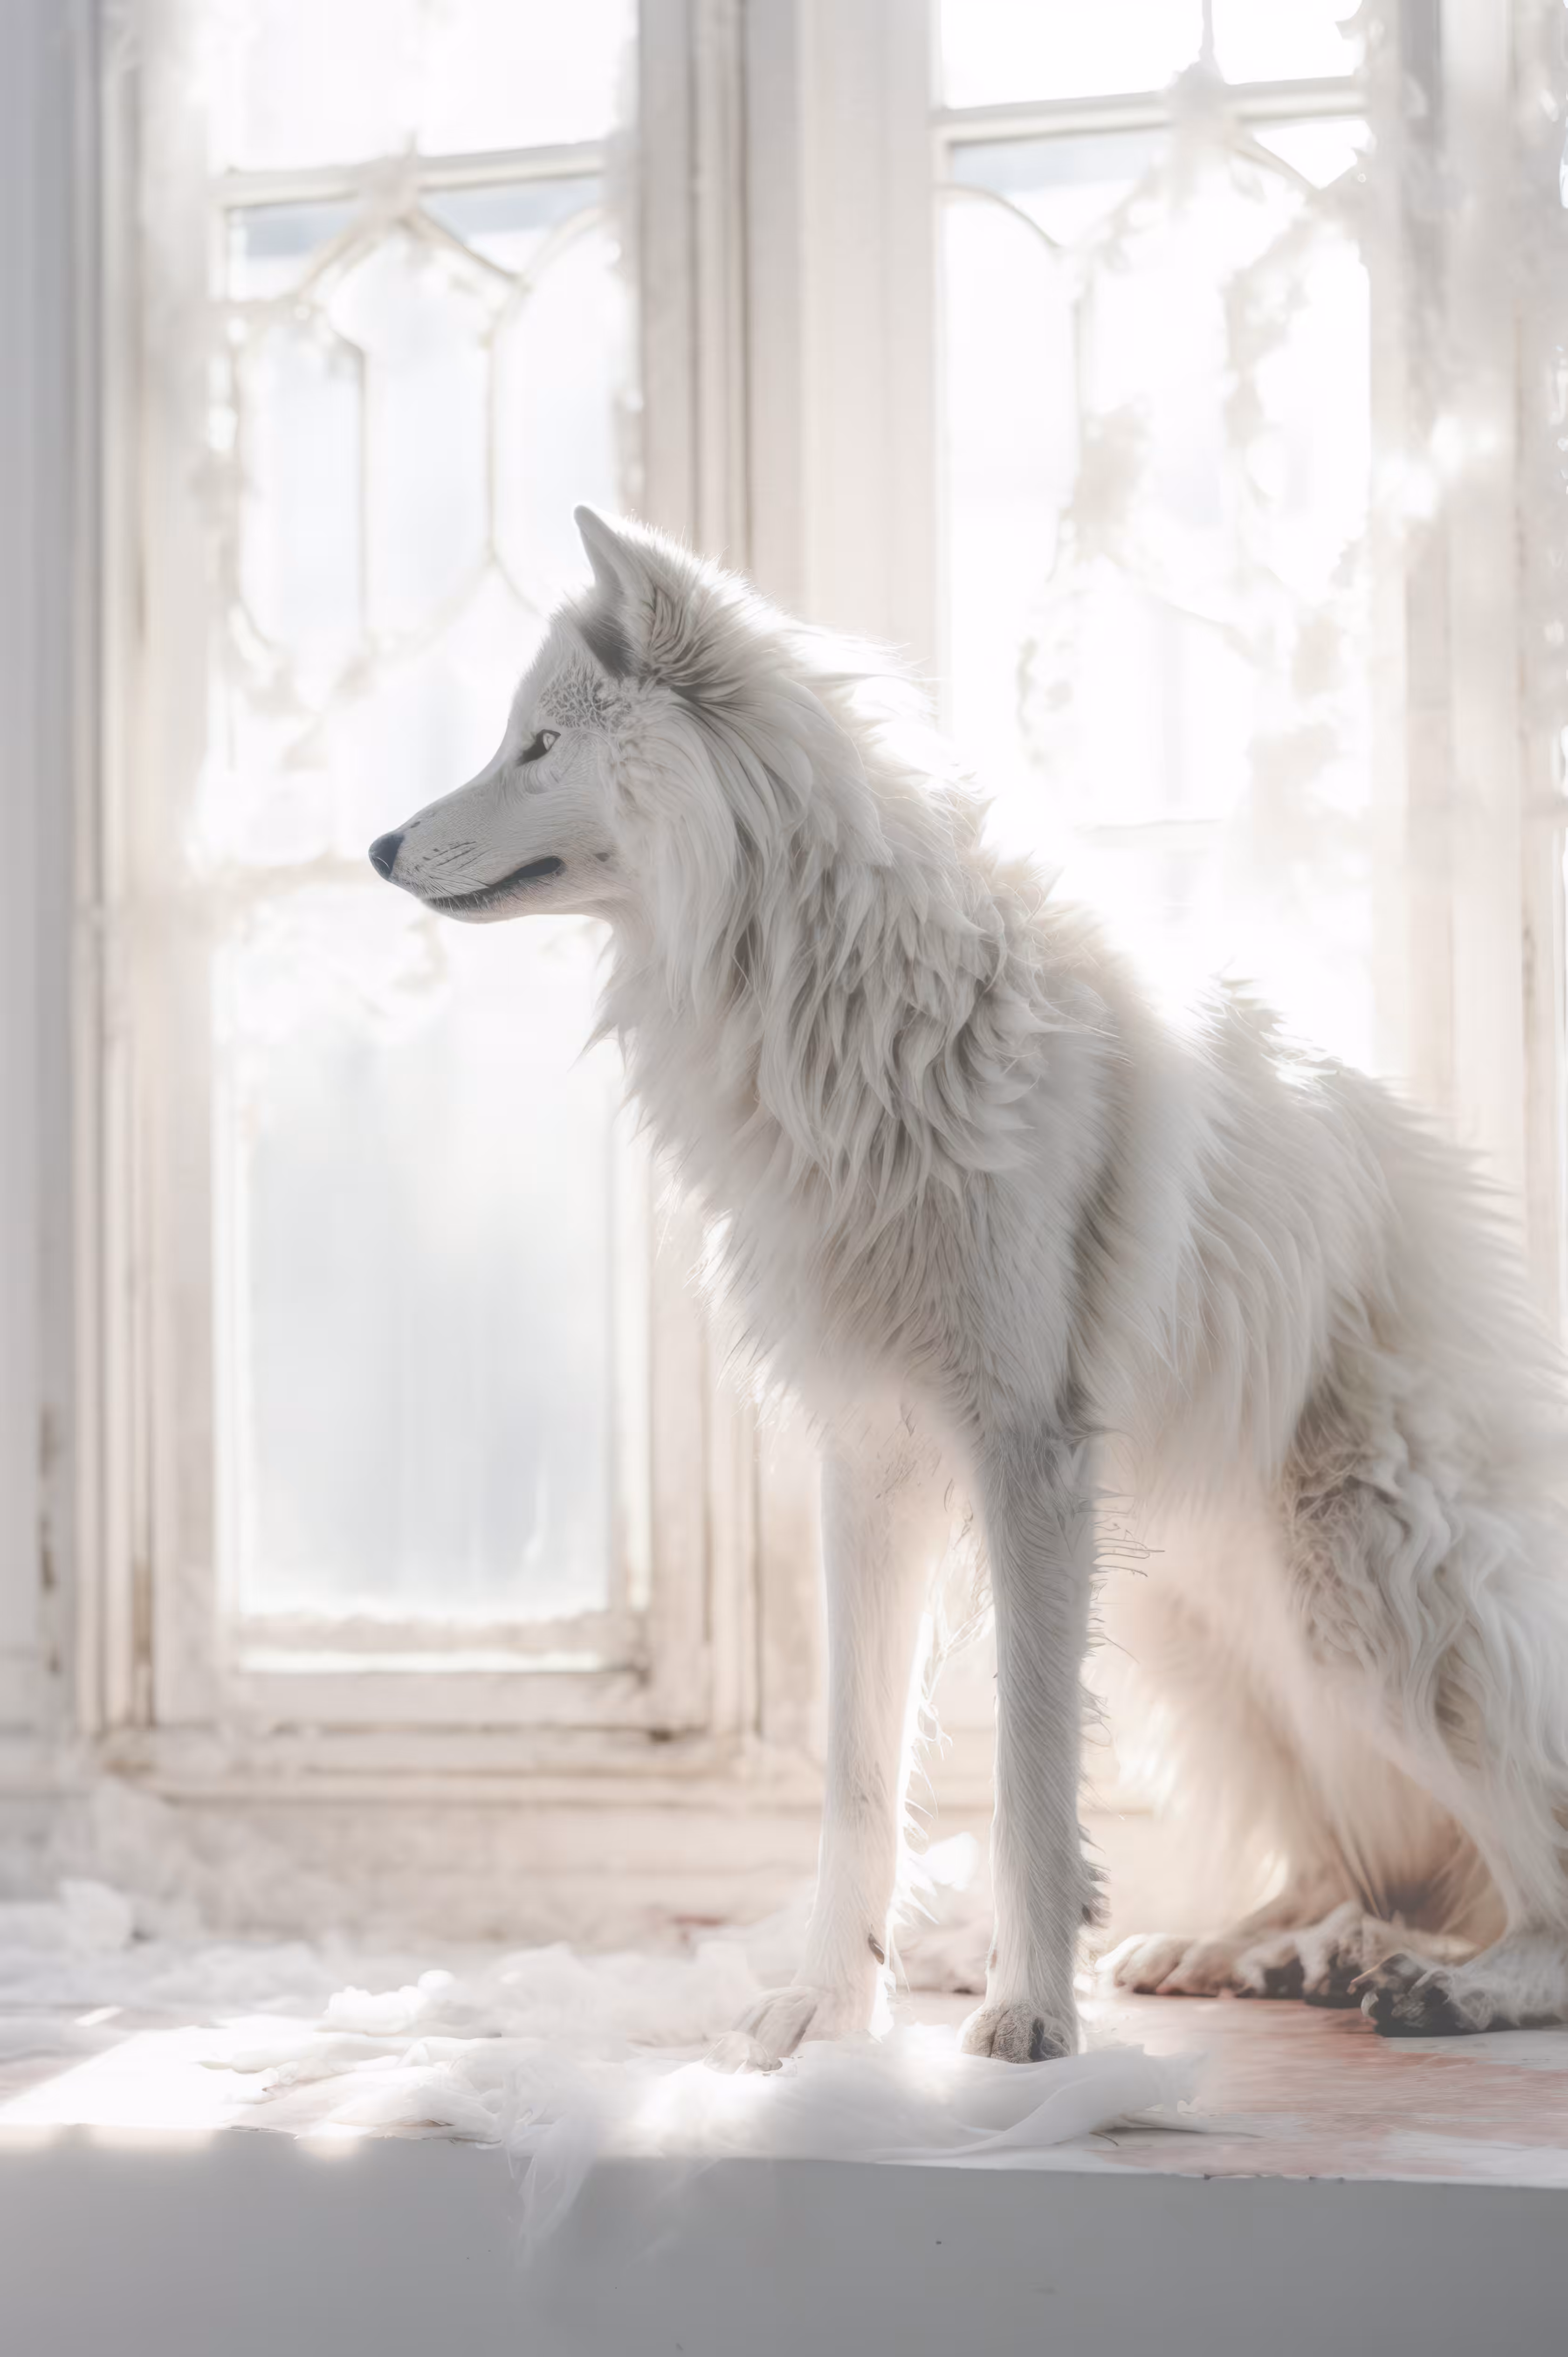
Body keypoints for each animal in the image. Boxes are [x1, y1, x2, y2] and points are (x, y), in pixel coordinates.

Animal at [369, 507, 1568, 2063]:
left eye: (535, 745)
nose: (378, 845)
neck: (831, 1009)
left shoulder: (1023, 1456)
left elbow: (1026, 1775)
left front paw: (1026, 2020)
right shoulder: (868, 1457)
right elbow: (857, 1773)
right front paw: (825, 2011)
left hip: (1361, 1596)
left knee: (1533, 1870)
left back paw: (1444, 1985)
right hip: (1194, 1628)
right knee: (1348, 1865)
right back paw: (1250, 1951)